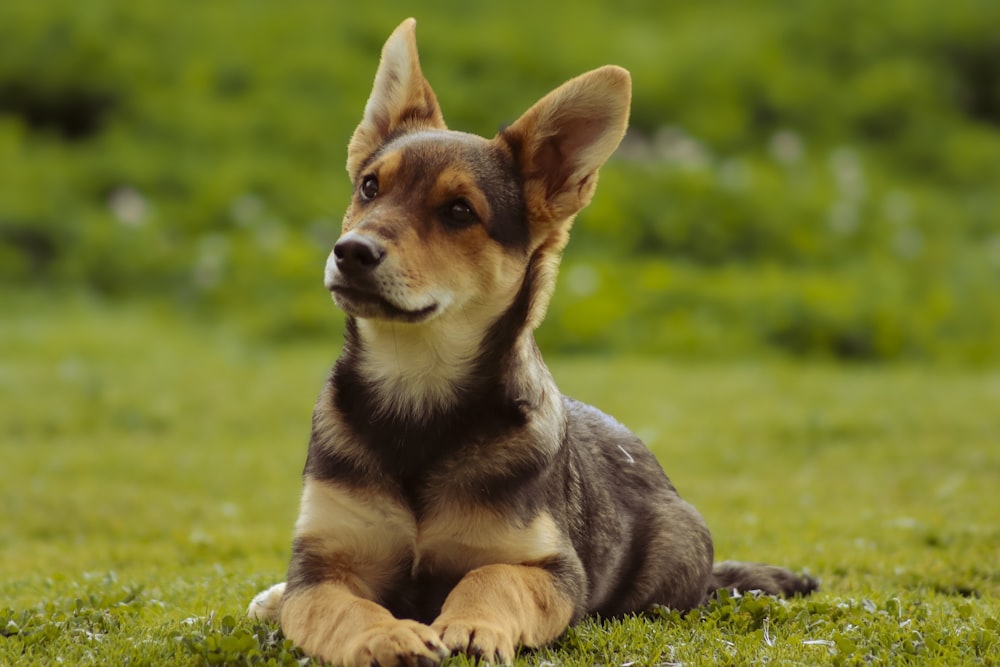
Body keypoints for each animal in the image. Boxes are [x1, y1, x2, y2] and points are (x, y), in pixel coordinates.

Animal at [246, 17, 816, 667]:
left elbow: (491, 577)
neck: (417, 390)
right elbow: (340, 608)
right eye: (369, 187)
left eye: (459, 211)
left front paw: (472, 624)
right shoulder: (323, 564)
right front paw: (385, 635)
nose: (351, 252)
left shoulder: (547, 565)